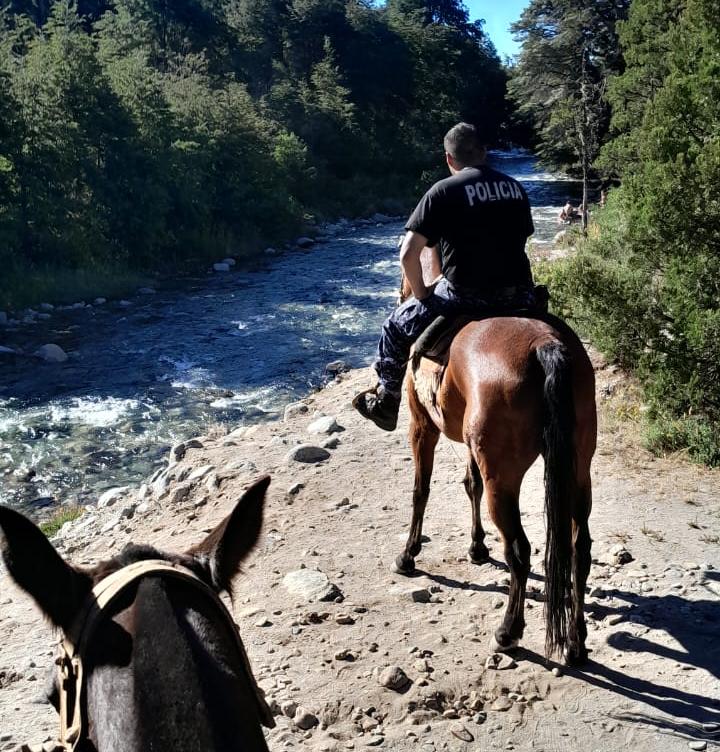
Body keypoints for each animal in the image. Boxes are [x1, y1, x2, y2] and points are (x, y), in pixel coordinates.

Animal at [396, 251, 592, 664]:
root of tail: (544, 344)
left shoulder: (421, 426)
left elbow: (421, 491)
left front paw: (409, 555)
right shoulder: (472, 447)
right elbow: (470, 485)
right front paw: (477, 547)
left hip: (503, 479)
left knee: (520, 550)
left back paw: (508, 632)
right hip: (579, 470)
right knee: (578, 549)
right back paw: (575, 643)